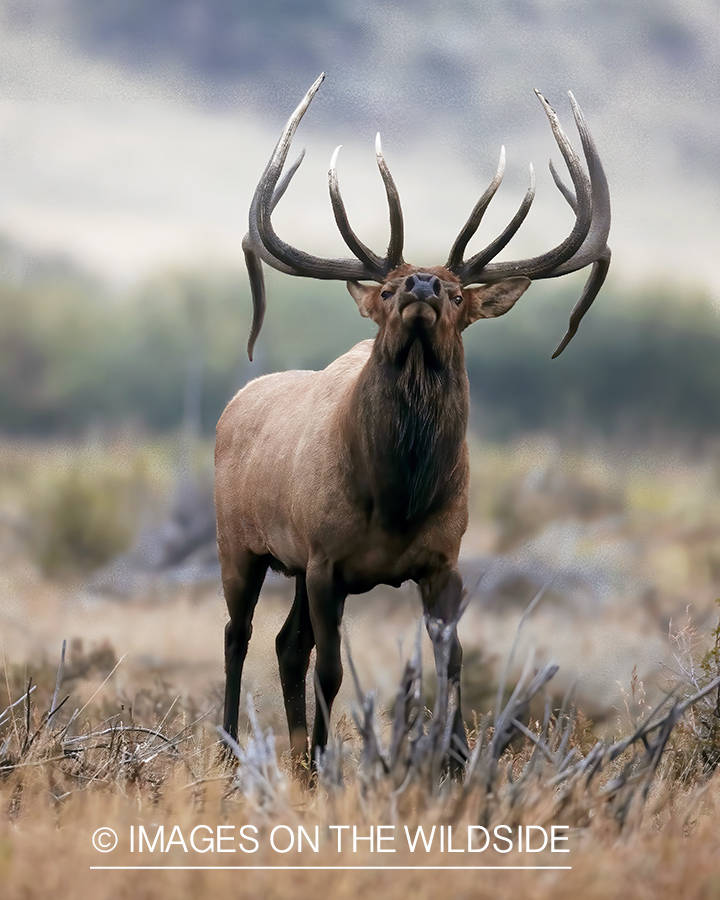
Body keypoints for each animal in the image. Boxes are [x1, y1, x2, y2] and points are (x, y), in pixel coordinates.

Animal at [217, 74, 612, 768]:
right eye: (388, 288)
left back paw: (292, 760)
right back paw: (232, 751)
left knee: (286, 646)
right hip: (239, 546)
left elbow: (450, 660)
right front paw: (329, 766)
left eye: (457, 294)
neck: (397, 495)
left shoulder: (441, 561)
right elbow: (332, 672)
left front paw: (455, 761)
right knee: (240, 637)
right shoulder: (325, 560)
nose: (423, 284)